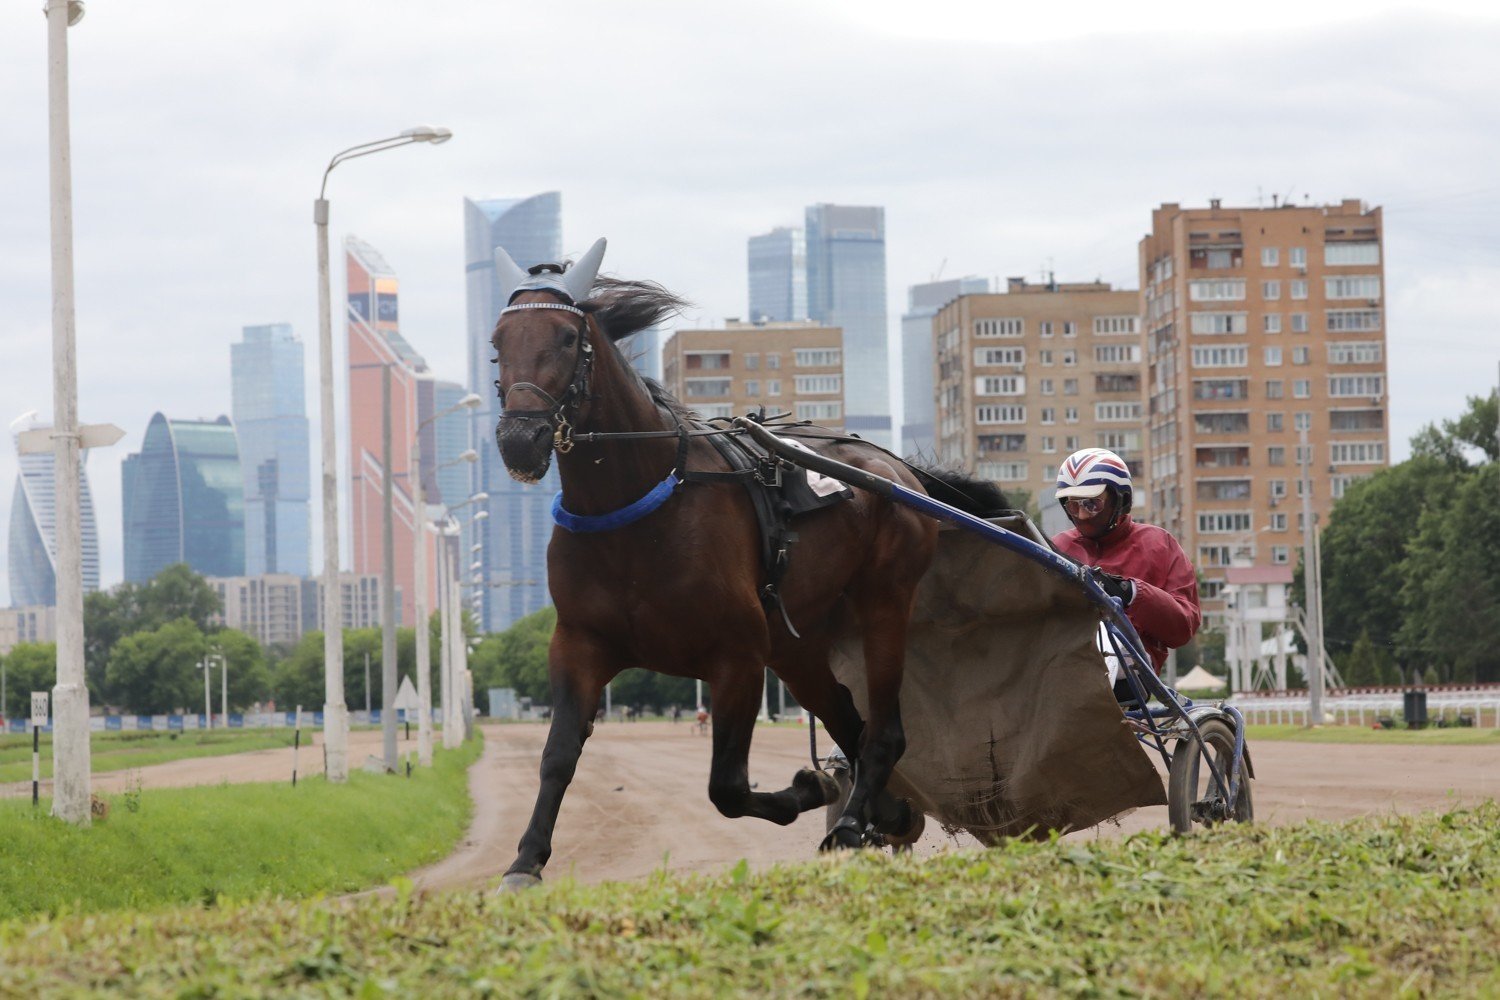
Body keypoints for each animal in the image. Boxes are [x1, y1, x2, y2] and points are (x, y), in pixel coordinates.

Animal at [492, 238, 1008, 887]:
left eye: (565, 337)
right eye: (497, 342)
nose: (520, 439)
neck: (637, 508)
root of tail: (893, 468)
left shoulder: (736, 655)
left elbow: (728, 788)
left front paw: (810, 789)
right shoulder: (579, 644)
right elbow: (558, 755)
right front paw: (526, 859)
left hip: (884, 602)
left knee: (884, 730)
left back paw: (851, 820)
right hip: (795, 645)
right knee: (848, 719)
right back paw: (887, 812)